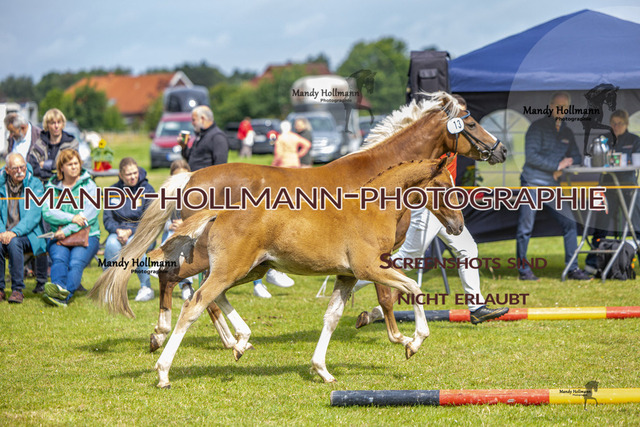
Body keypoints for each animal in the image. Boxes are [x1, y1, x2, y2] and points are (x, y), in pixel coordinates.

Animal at [89, 91, 507, 355]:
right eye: (470, 122)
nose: (499, 149)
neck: (380, 178)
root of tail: (189, 176)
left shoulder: (375, 256)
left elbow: (381, 291)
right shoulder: (377, 255)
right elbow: (387, 294)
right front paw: (399, 337)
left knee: (189, 285)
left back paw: (219, 339)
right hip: (214, 254)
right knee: (181, 281)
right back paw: (184, 336)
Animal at [147, 157, 463, 387]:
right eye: (443, 187)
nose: (458, 226)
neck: (373, 208)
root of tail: (221, 212)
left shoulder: (347, 275)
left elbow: (332, 317)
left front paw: (322, 370)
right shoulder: (371, 267)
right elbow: (413, 288)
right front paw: (414, 342)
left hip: (250, 269)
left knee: (216, 295)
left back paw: (241, 341)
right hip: (232, 269)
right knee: (194, 303)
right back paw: (163, 371)